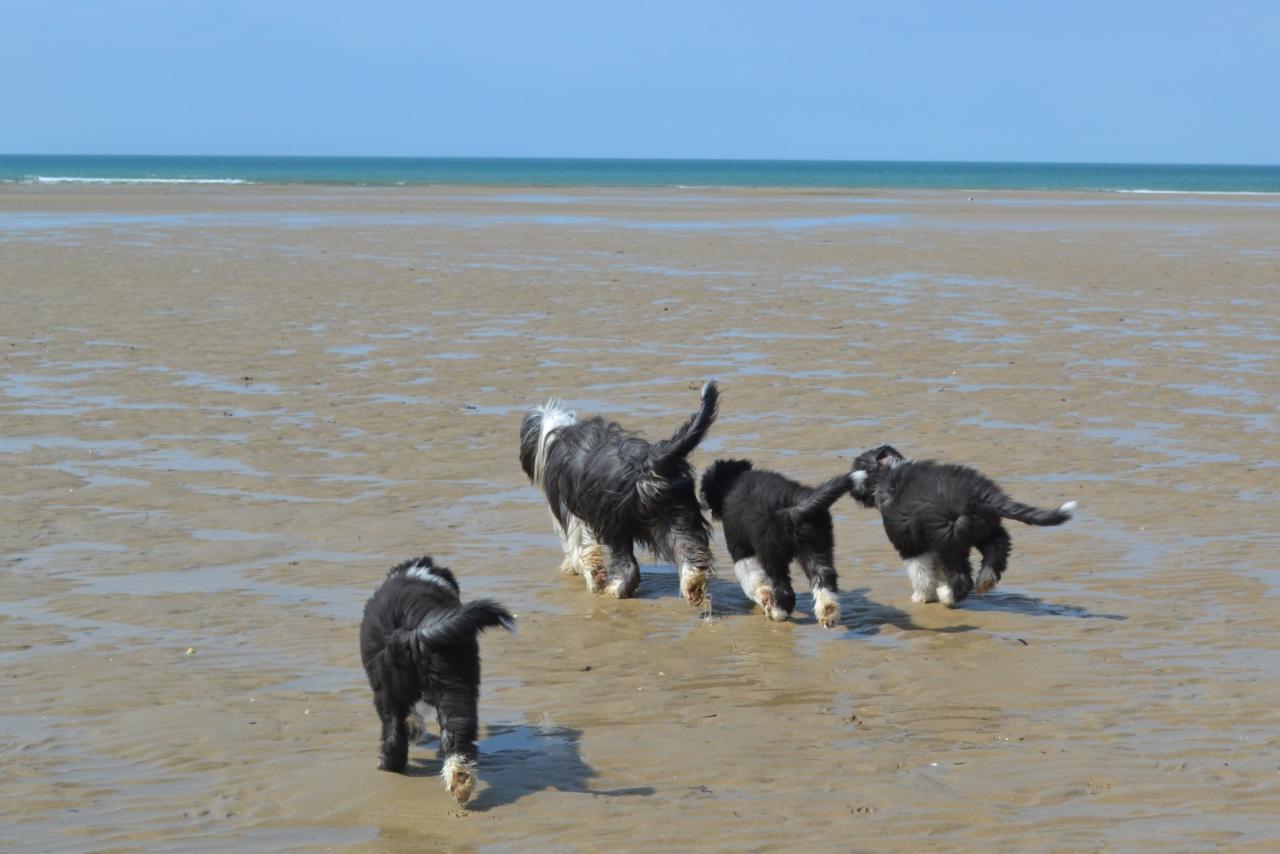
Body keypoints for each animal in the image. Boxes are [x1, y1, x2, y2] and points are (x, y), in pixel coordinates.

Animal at [358, 558, 512, 804]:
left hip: (395, 691)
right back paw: (460, 780)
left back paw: (390, 766)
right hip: (453, 683)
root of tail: (408, 631)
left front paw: (414, 728)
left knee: (397, 731)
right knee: (455, 732)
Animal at [519, 381, 721, 601]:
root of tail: (649, 461)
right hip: (676, 513)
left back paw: (617, 589)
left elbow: (582, 545)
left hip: (617, 523)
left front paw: (582, 570)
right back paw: (692, 583)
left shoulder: (571, 510)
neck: (555, 431)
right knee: (688, 550)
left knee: (629, 566)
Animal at [701, 460, 849, 627]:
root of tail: (793, 509)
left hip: (772, 552)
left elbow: (752, 577)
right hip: (817, 544)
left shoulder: (740, 547)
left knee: (784, 588)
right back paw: (828, 612)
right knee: (824, 574)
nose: (708, 509)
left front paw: (764, 598)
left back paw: (778, 613)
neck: (733, 481)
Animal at [855, 448, 1075, 606]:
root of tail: (979, 494)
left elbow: (920, 572)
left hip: (950, 538)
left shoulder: (909, 543)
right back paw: (985, 579)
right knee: (999, 546)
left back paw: (948, 596)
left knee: (962, 578)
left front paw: (923, 596)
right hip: (982, 528)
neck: (888, 472)